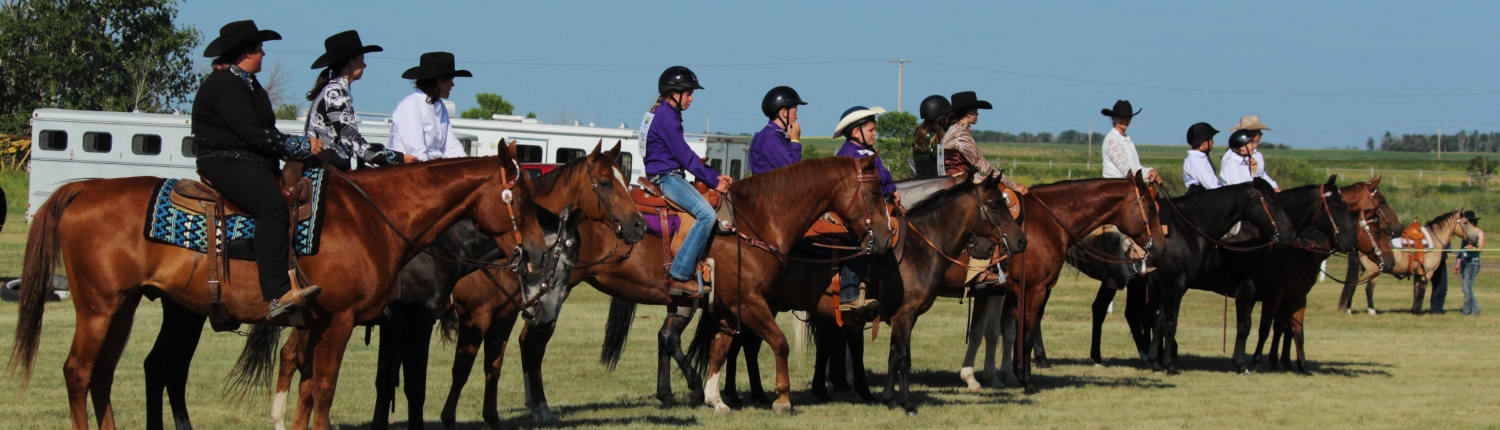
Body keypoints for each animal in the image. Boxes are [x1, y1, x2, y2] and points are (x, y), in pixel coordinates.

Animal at [11, 145, 552, 430]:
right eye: (522, 198)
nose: (540, 251)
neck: (373, 220)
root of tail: (84, 187)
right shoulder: (343, 320)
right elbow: (329, 388)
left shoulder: (318, 323)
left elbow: (310, 386)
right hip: (99, 307)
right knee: (80, 371)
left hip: (125, 307)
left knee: (111, 373)